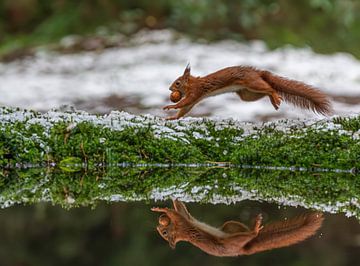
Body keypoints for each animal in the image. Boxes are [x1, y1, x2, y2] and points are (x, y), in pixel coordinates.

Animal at [152, 200, 324, 256]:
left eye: (163, 231)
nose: (160, 222)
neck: (178, 230)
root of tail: (243, 249)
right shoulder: (183, 224)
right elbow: (176, 213)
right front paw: (162, 209)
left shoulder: (185, 219)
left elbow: (180, 208)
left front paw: (161, 207)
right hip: (230, 242)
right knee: (251, 234)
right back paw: (255, 228)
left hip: (230, 226)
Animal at [163, 64, 332, 119]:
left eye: (177, 83)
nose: (170, 89)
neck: (192, 84)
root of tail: (259, 73)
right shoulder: (195, 98)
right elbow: (185, 108)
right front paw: (172, 118)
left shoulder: (196, 92)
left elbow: (185, 102)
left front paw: (170, 107)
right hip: (247, 94)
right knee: (266, 92)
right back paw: (274, 101)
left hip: (253, 83)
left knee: (270, 88)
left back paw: (276, 97)